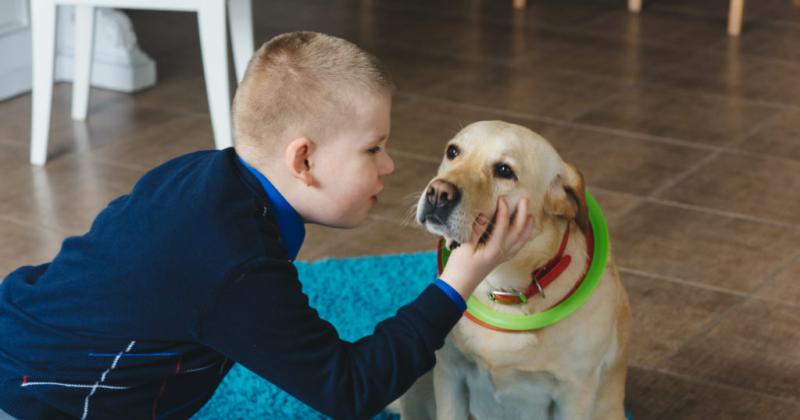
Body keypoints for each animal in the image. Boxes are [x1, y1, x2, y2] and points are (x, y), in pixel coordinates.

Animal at [396, 120, 628, 420]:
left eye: (505, 171)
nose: (438, 193)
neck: (505, 290)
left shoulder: (574, 393)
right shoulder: (450, 375)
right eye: (453, 151)